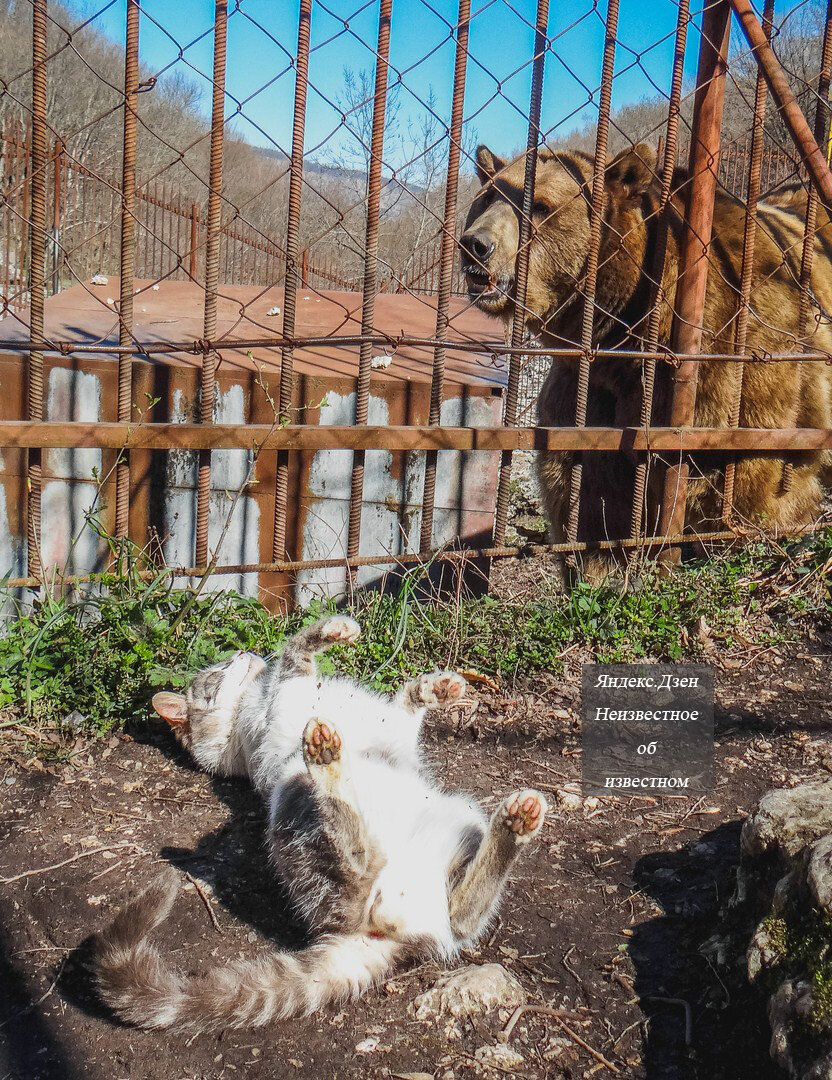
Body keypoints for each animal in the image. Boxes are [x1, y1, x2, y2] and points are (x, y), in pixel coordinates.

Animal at [92, 617, 544, 1028]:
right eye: (216, 674)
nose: (241, 653)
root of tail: (391, 939)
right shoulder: (284, 688)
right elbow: (295, 652)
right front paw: (331, 630)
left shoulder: (397, 730)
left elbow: (406, 705)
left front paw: (438, 688)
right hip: (295, 798)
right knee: (356, 880)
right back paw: (329, 762)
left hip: (463, 818)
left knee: (461, 913)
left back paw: (516, 823)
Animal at [460, 147, 829, 578]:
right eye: (487, 197)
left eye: (540, 205)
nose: (475, 244)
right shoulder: (591, 386)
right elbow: (590, 486)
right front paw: (598, 568)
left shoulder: (738, 352)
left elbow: (756, 466)